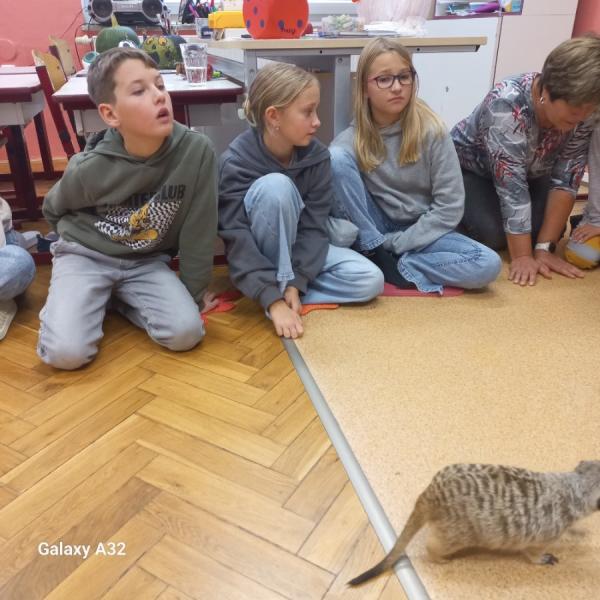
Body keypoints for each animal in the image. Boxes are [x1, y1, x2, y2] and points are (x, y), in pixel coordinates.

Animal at [349, 461, 600, 586]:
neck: (570, 488)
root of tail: (430, 494)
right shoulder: (546, 531)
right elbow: (533, 551)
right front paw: (544, 558)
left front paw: (578, 532)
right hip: (459, 531)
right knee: (436, 544)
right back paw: (440, 558)